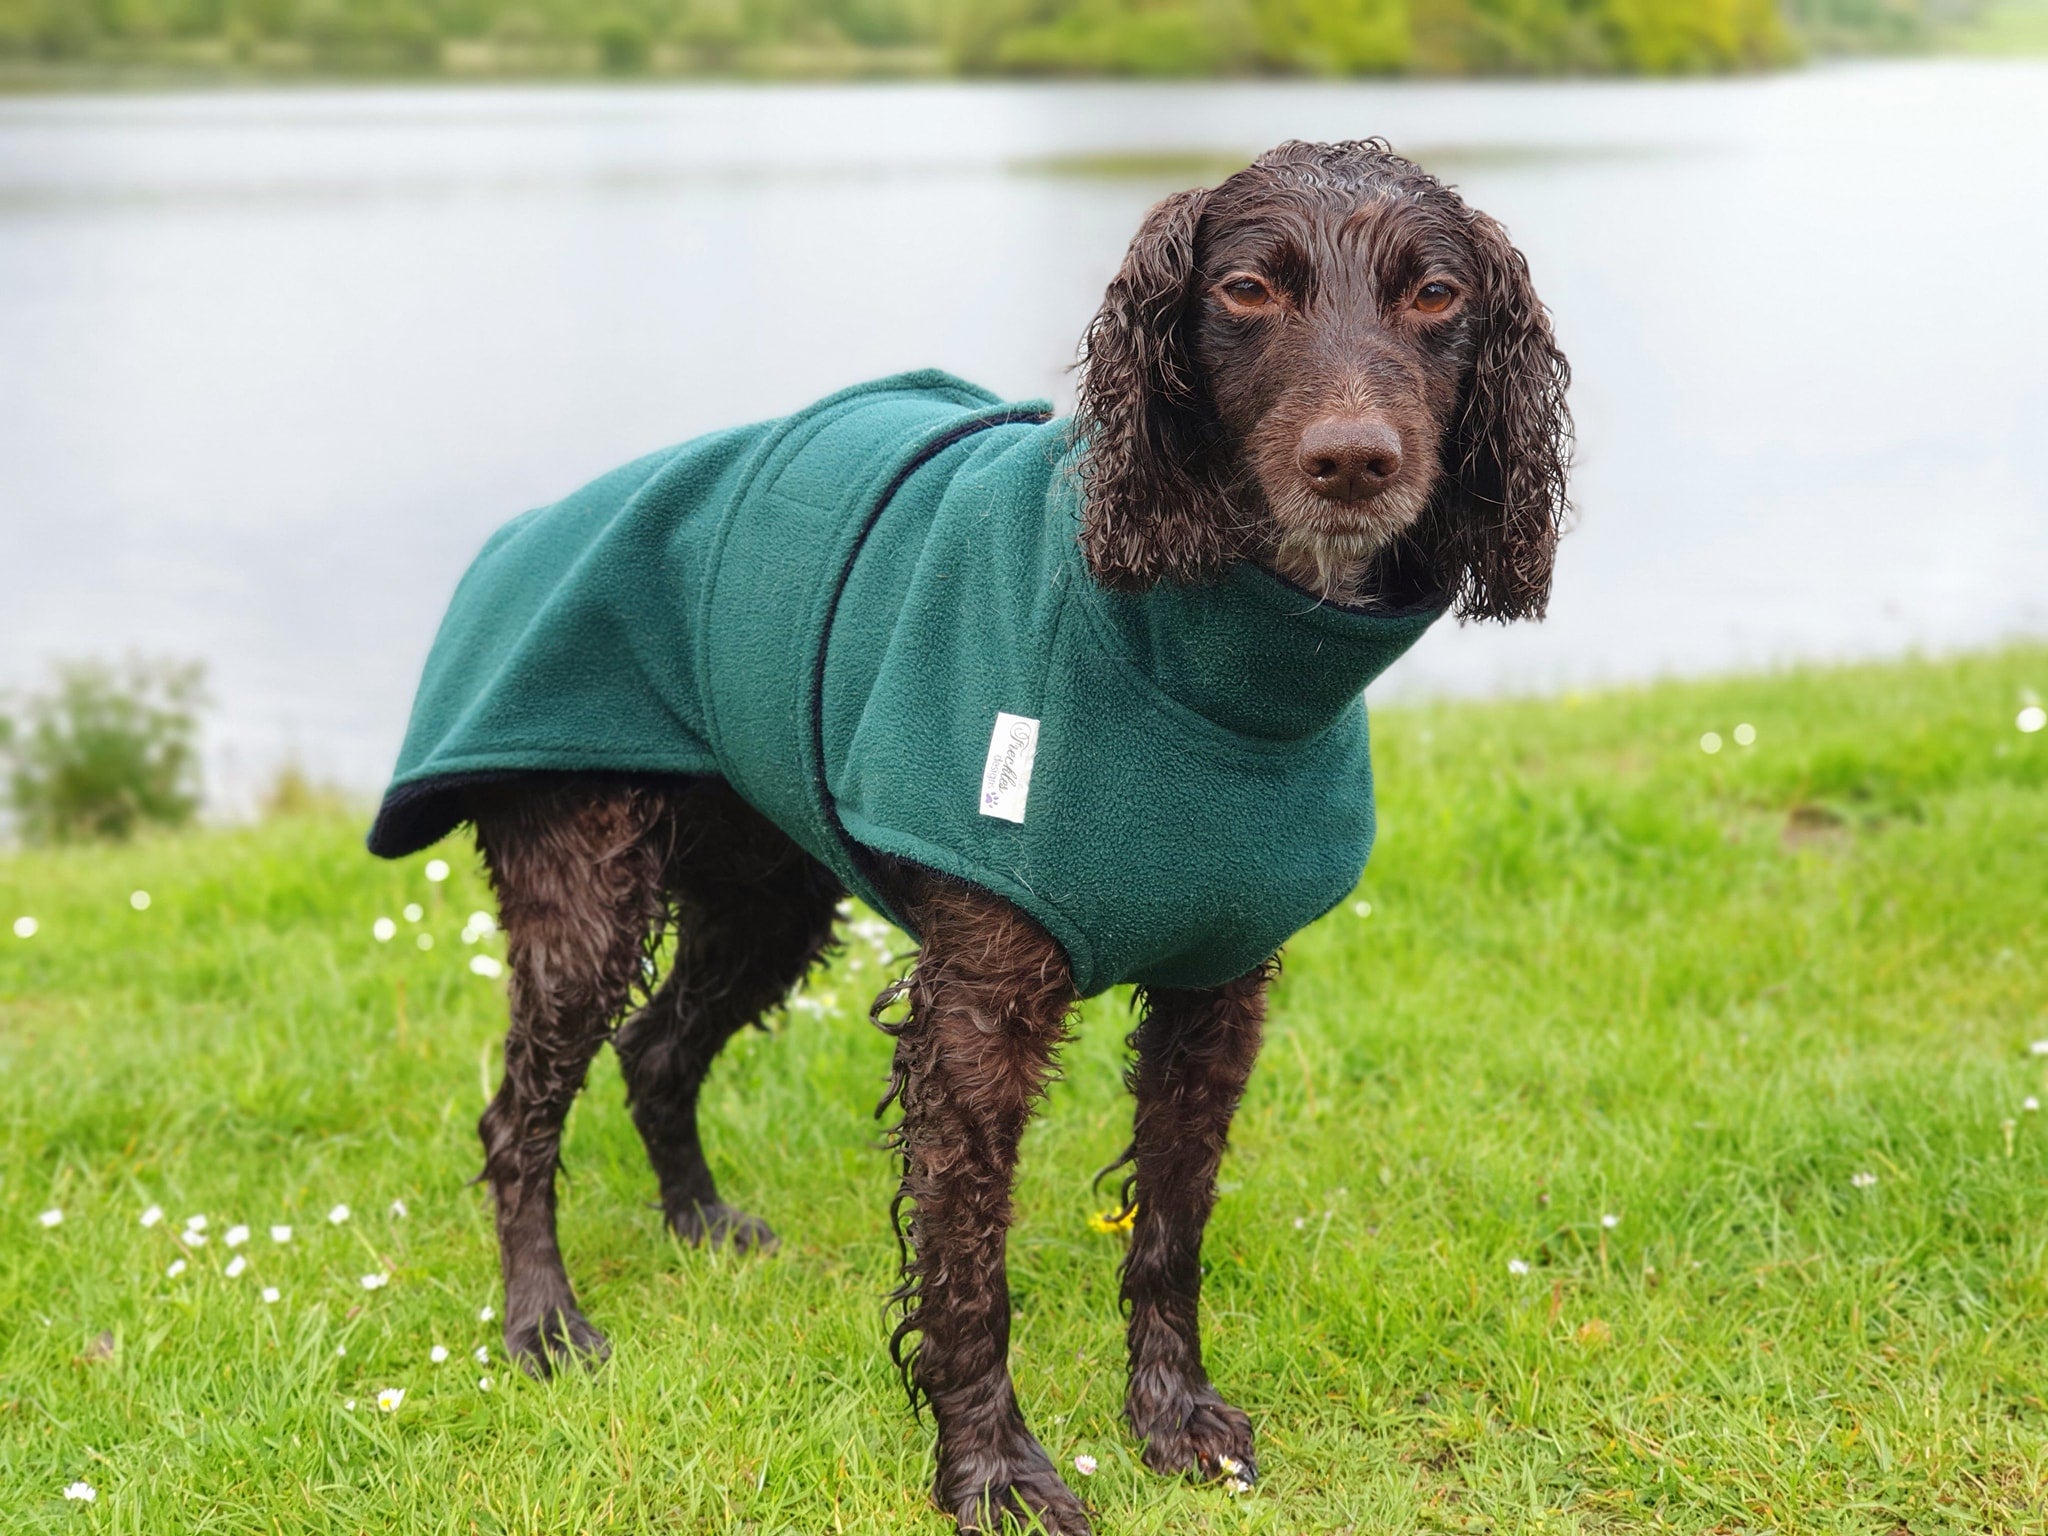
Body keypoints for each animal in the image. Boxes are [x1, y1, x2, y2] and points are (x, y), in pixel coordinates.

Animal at [372, 138, 1564, 1531]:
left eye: (1433, 295)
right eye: (1247, 290)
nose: (1352, 460)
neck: (1186, 656)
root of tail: (513, 536)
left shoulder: (1216, 991)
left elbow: (1169, 1227)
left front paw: (1172, 1419)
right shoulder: (975, 1010)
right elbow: (965, 1270)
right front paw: (992, 1470)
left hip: (767, 898)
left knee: (657, 1049)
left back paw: (701, 1225)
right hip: (587, 897)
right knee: (519, 1119)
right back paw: (543, 1324)